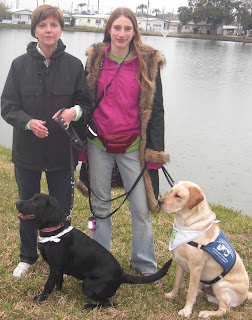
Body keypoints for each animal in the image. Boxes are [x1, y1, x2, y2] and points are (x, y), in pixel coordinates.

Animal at [16, 194, 173, 308]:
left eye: (36, 202)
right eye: (32, 197)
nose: (17, 203)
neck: (54, 232)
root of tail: (121, 274)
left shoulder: (55, 267)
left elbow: (48, 285)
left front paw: (41, 299)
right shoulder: (57, 269)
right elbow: (58, 283)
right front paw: (57, 294)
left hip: (89, 285)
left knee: (110, 304)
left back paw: (89, 306)